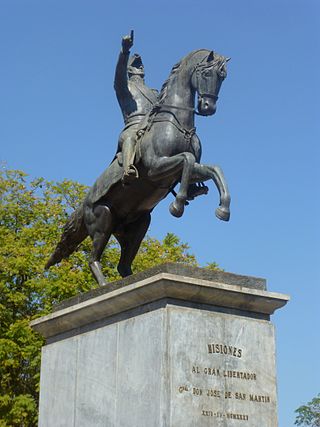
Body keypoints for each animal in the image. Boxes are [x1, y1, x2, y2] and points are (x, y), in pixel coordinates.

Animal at [45, 48, 230, 286]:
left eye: (223, 77)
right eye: (207, 73)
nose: (208, 107)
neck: (176, 123)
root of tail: (84, 202)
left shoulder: (183, 172)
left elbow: (214, 169)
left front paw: (223, 209)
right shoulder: (156, 168)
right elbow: (187, 159)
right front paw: (177, 205)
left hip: (137, 225)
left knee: (123, 266)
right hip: (103, 220)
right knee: (93, 259)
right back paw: (105, 286)